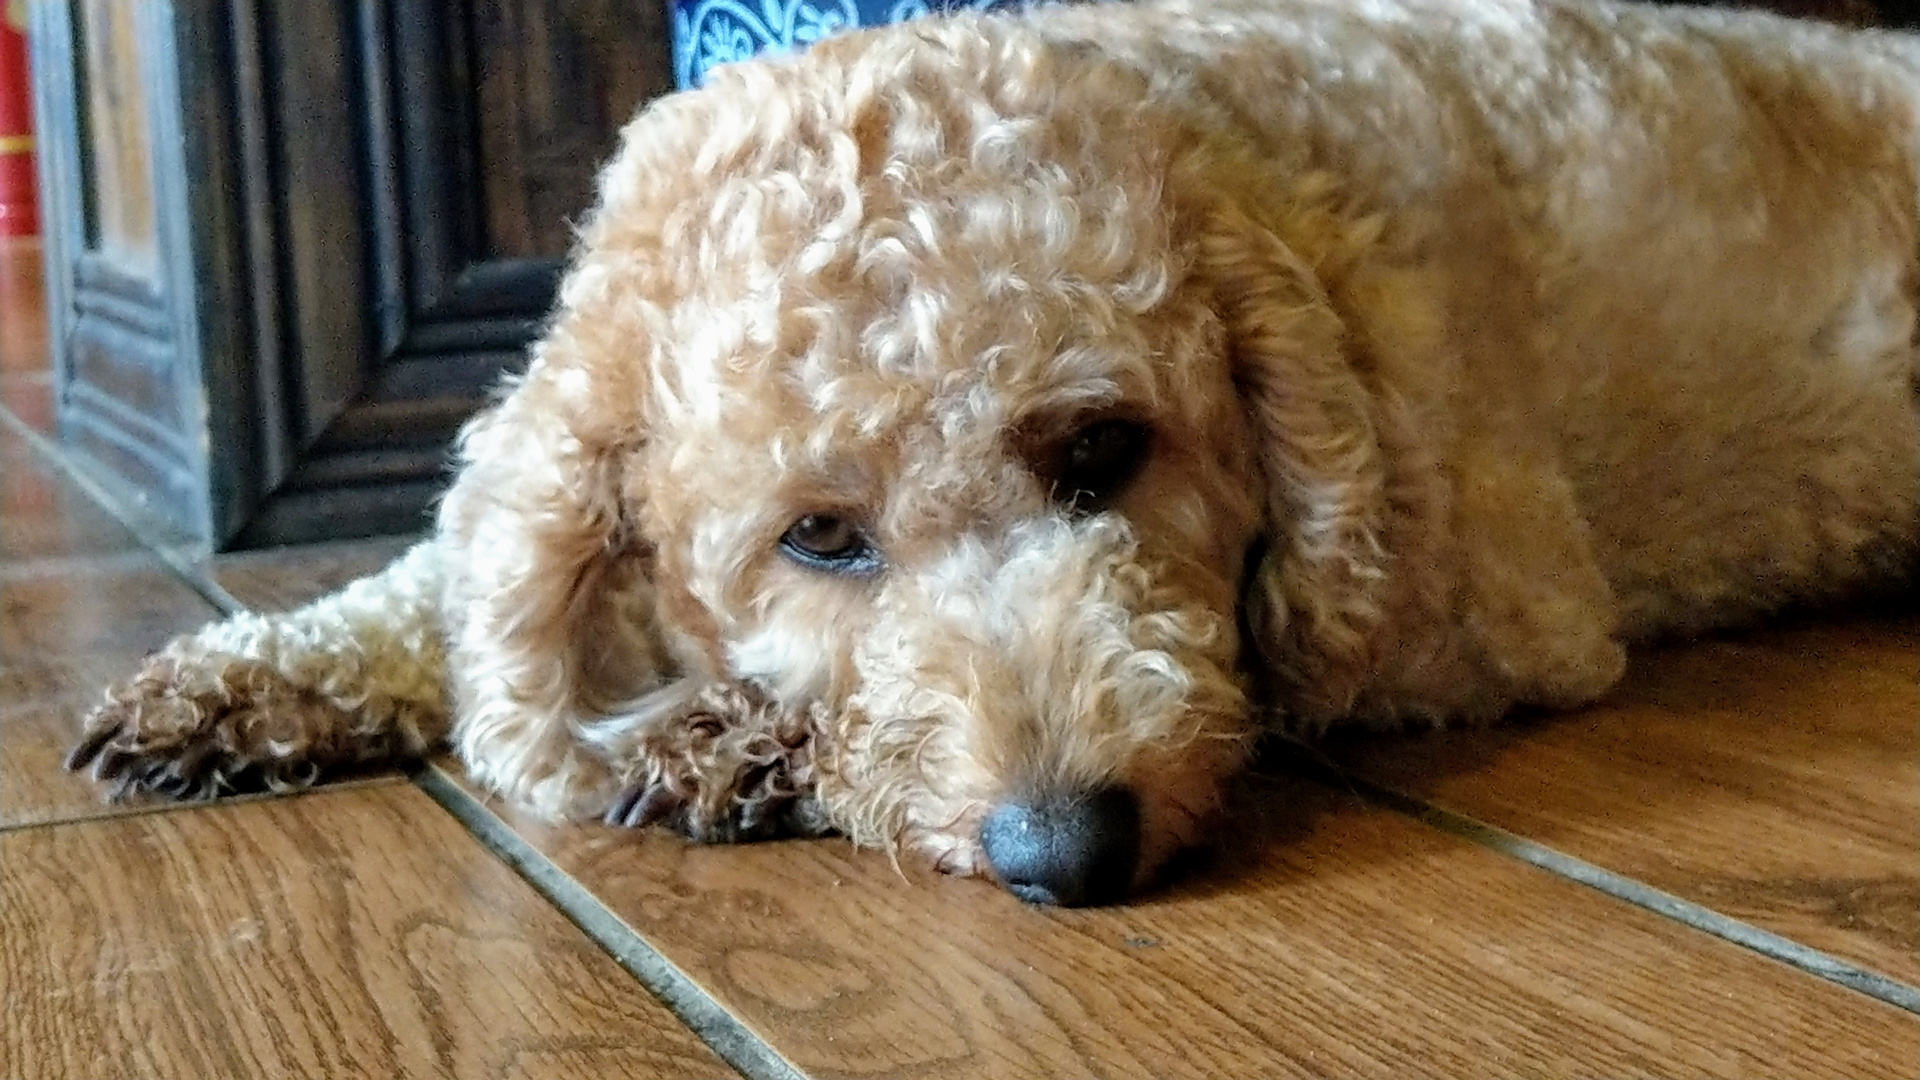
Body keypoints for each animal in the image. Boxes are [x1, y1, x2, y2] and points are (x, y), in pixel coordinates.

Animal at [67, 0, 1912, 903]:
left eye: (1105, 446)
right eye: (819, 536)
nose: (1064, 856)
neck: (1250, 164)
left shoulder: (1481, 601)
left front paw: (728, 742)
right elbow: (456, 571)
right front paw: (245, 681)